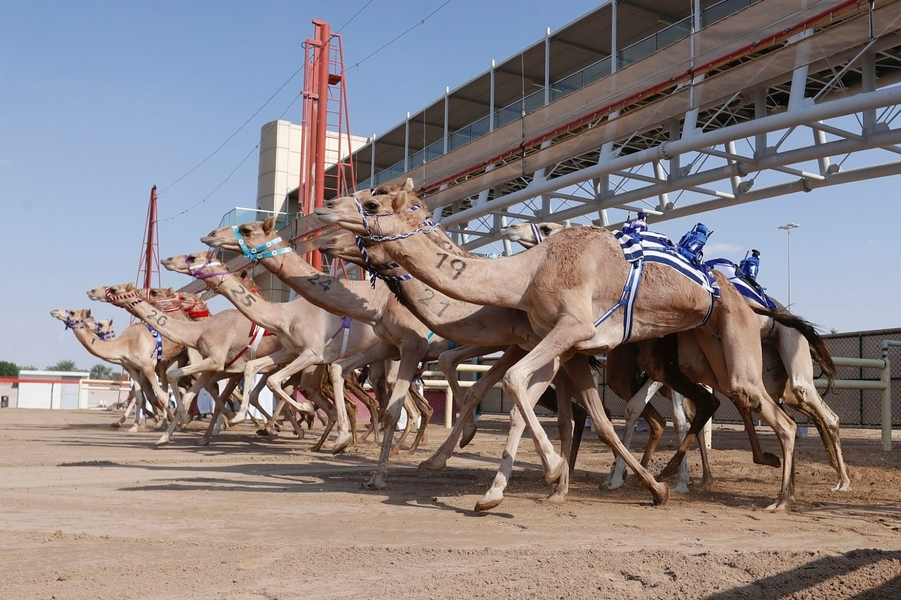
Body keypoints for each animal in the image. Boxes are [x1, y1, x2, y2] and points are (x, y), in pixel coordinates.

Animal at [316, 180, 800, 512]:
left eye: (373, 202)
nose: (324, 210)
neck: (524, 277)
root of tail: (744, 294)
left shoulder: (568, 328)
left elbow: (513, 386)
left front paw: (548, 473)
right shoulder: (561, 345)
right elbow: (560, 410)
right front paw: (504, 491)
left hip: (729, 344)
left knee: (775, 415)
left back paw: (775, 498)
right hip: (705, 350)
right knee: (720, 402)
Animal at [503, 220, 850, 492]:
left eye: (548, 228)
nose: (512, 228)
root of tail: (777, 309)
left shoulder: (663, 366)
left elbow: (657, 412)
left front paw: (643, 477)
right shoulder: (661, 370)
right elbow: (663, 413)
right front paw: (628, 475)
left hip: (786, 353)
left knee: (815, 409)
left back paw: (839, 480)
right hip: (768, 375)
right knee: (765, 404)